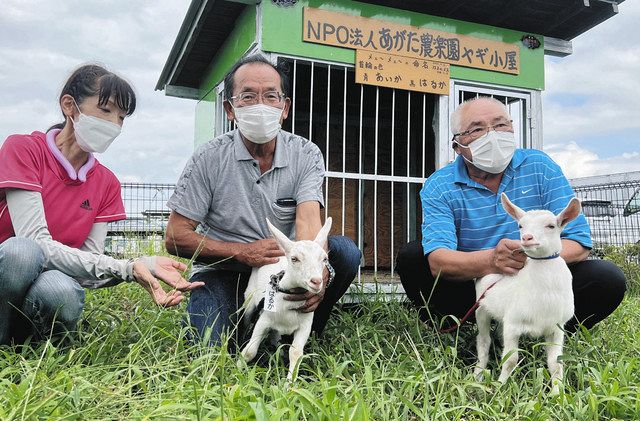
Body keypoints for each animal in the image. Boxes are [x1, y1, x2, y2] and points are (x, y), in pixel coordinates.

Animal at [239, 217, 330, 378]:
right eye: (294, 259)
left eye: (325, 259)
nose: (316, 281)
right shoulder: (263, 320)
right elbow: (250, 351)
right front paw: (234, 370)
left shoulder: (305, 325)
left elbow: (296, 353)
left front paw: (290, 382)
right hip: (249, 300)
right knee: (247, 321)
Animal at [476, 193, 580, 394]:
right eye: (520, 225)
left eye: (551, 226)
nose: (527, 237)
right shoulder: (513, 323)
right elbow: (510, 360)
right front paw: (500, 388)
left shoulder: (556, 328)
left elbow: (555, 363)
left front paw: (557, 395)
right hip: (481, 309)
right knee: (483, 341)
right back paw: (477, 375)